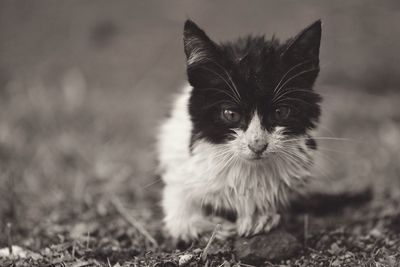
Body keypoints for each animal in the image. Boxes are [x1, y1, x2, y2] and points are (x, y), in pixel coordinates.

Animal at [156, 19, 322, 243]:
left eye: (281, 112)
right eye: (231, 114)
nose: (257, 145)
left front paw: (258, 216)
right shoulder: (178, 160)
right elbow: (179, 211)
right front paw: (212, 226)